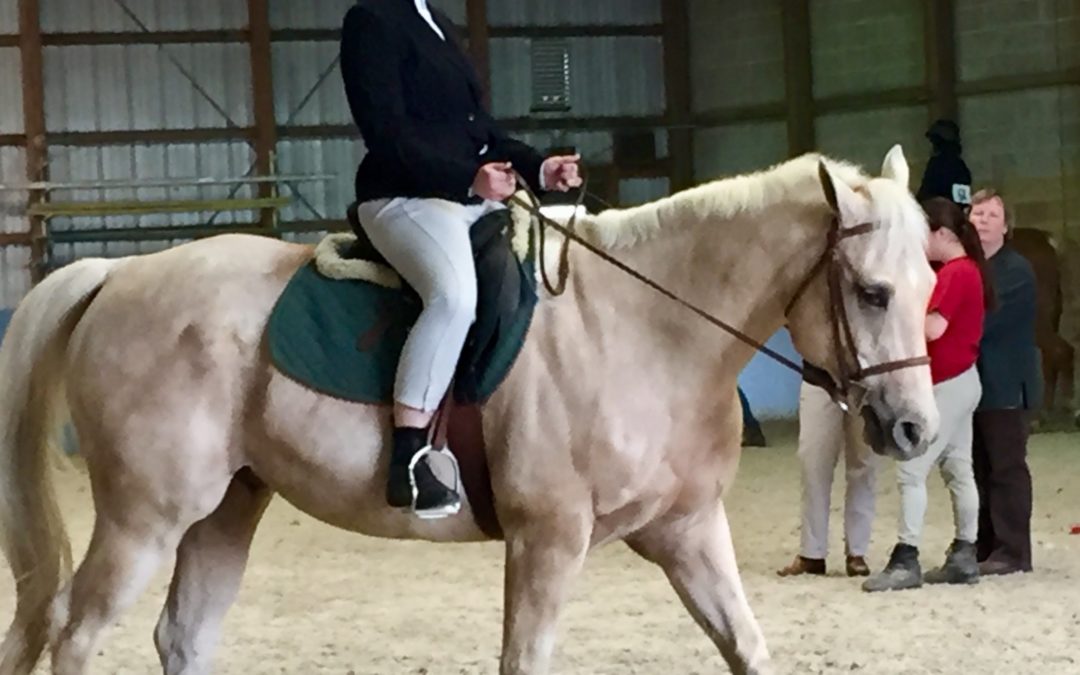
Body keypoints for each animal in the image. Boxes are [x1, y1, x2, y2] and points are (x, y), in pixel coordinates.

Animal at [0, 145, 937, 675]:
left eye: (931, 283)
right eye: (871, 291)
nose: (914, 430)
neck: (644, 326)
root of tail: (120, 274)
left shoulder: (689, 530)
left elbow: (746, 645)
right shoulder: (547, 539)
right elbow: (525, 659)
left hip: (226, 506)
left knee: (182, 638)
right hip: (146, 515)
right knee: (74, 632)